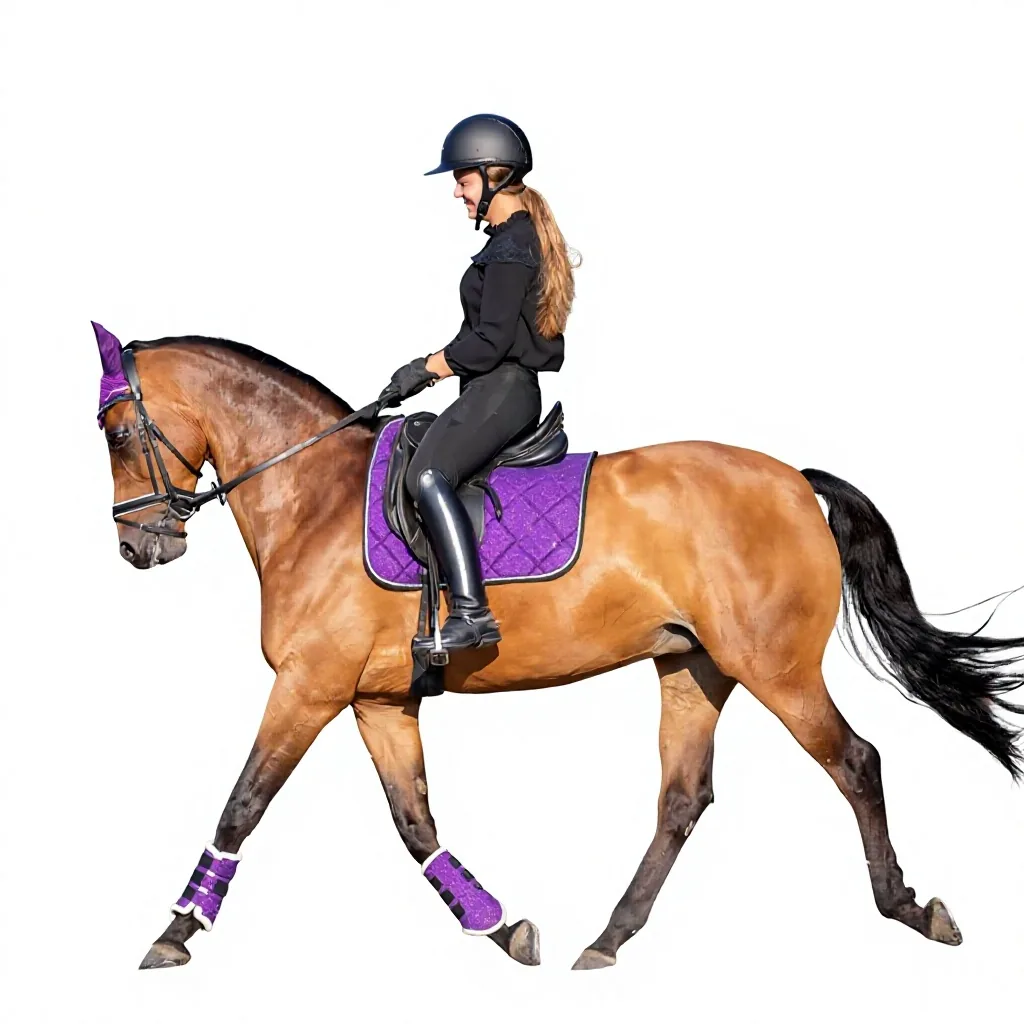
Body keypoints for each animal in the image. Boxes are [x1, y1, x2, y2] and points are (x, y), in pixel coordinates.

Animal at [91, 322, 1024, 972]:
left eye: (116, 432)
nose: (140, 547)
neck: (312, 498)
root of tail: (795, 479)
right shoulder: (377, 699)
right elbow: (414, 821)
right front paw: (500, 927)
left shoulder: (309, 686)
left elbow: (242, 803)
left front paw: (175, 932)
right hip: (693, 667)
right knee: (683, 798)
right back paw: (609, 937)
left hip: (776, 667)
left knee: (855, 761)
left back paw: (909, 908)